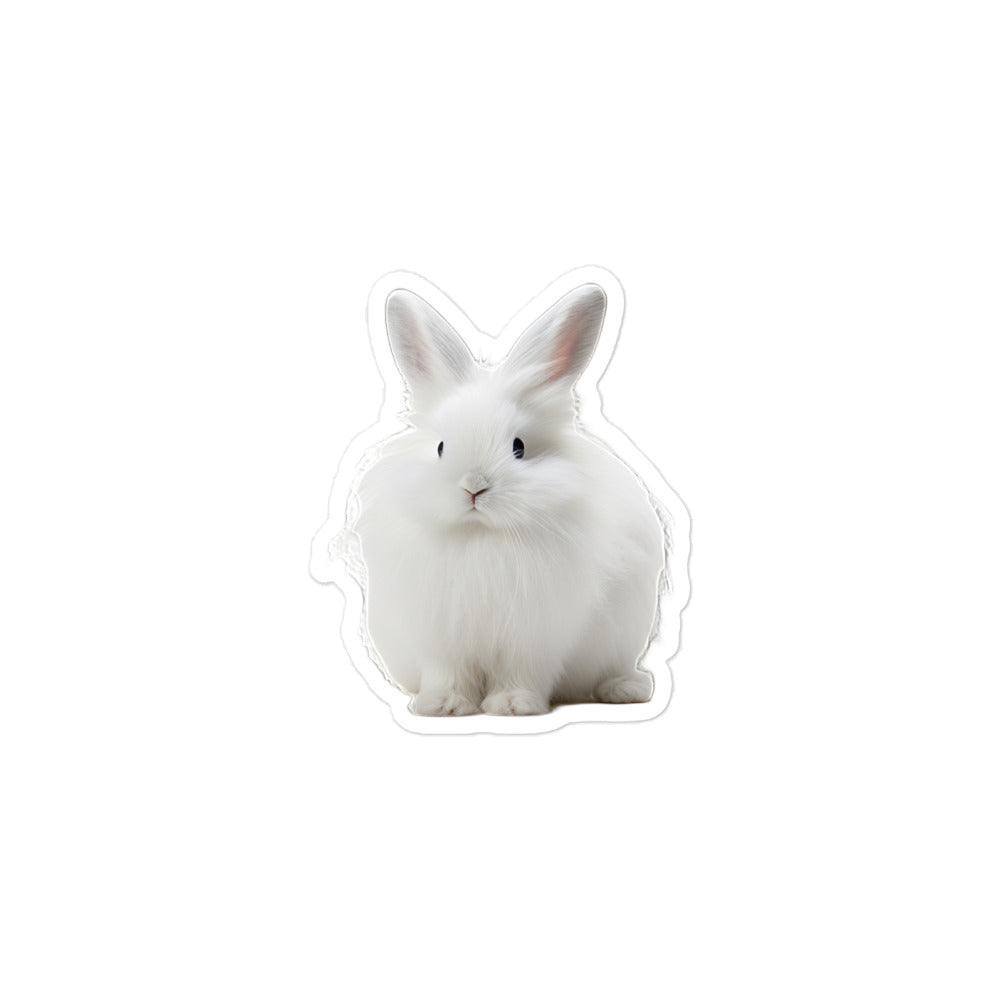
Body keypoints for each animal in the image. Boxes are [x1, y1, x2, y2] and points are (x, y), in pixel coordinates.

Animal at [352, 281, 666, 716]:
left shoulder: (534, 637)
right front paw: (443, 705)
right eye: (441, 447)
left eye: (519, 447)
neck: (481, 535)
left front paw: (513, 704)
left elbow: (521, 672)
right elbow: (447, 673)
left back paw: (625, 690)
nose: (474, 486)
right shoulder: (440, 637)